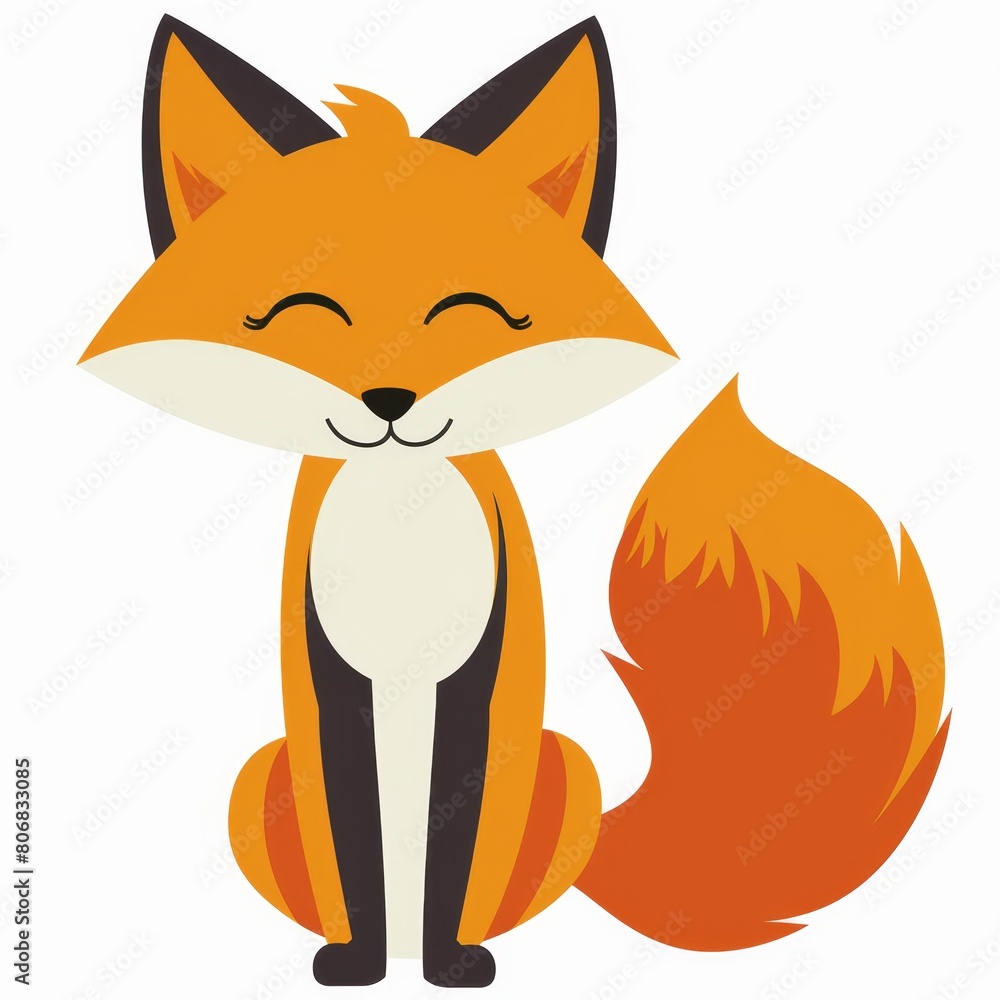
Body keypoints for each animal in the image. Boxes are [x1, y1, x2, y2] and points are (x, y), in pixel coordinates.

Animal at [79, 14, 950, 990]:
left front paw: (448, 965)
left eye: (472, 312)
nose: (390, 399)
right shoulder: (333, 683)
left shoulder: (476, 678)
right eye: (306, 311)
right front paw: (364, 965)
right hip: (257, 780)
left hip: (562, 771)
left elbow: (451, 838)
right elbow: (356, 843)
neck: (401, 525)